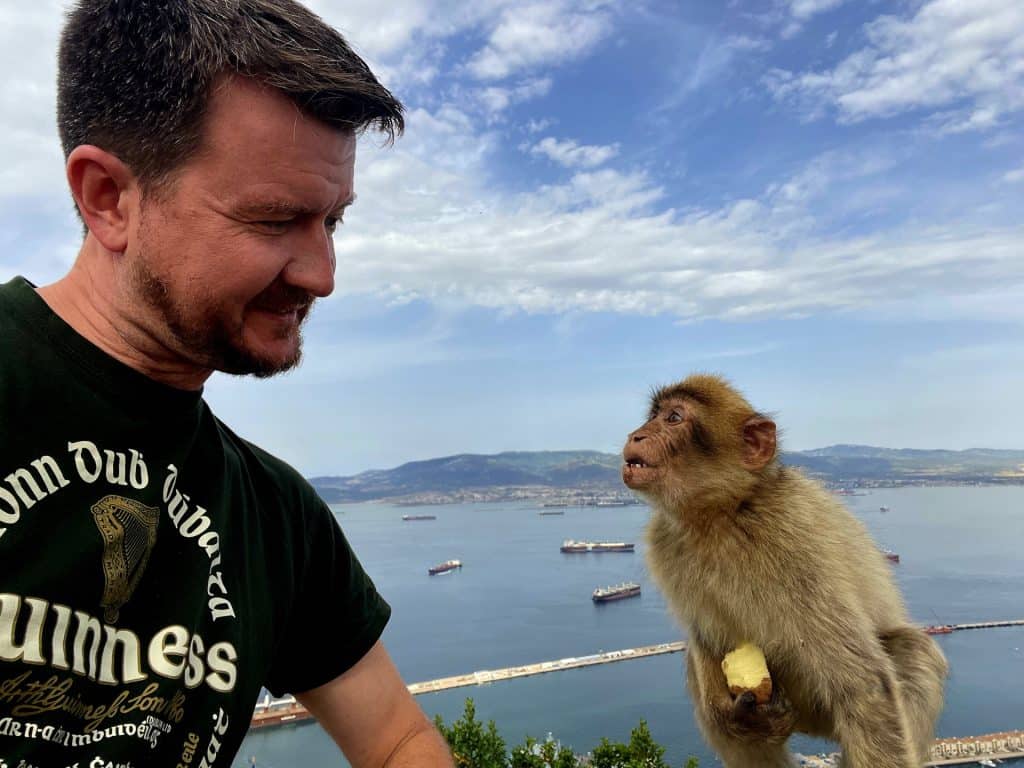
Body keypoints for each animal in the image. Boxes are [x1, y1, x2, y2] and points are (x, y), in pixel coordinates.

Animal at [621, 373, 947, 768]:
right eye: (653, 415)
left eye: (673, 418)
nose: (636, 435)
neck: (722, 514)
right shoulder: (667, 543)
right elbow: (706, 637)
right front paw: (729, 714)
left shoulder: (792, 538)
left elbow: (862, 682)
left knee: (912, 650)